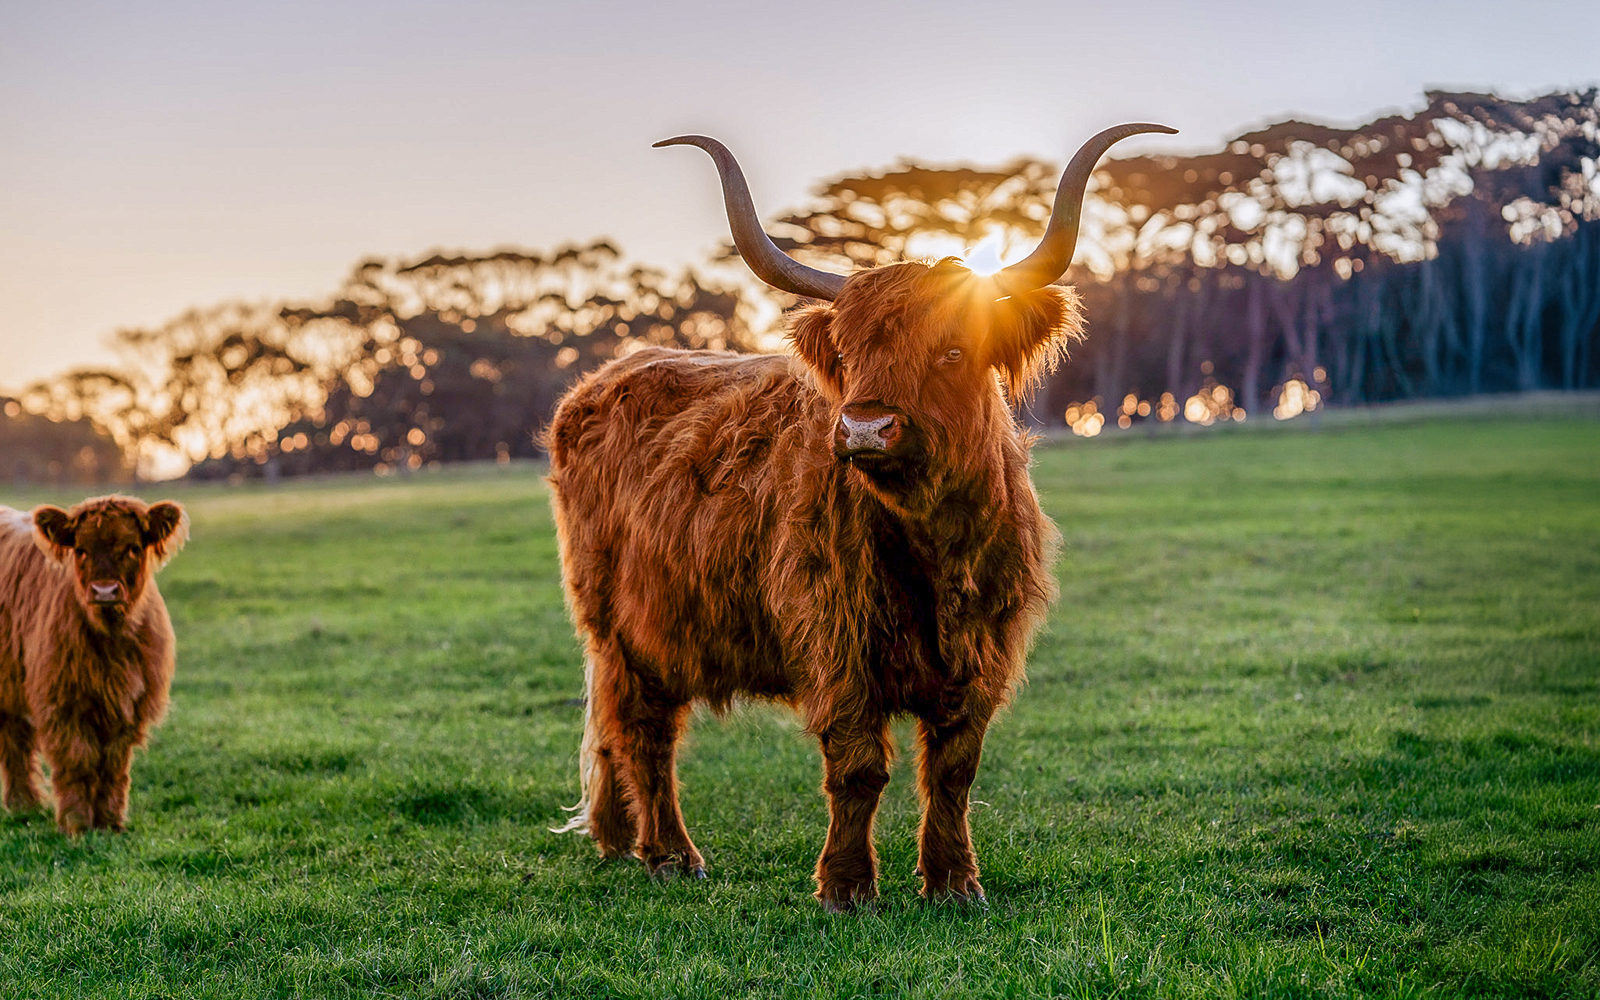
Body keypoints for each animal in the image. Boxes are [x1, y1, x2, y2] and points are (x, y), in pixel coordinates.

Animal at [0, 495, 187, 834]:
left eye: (133, 547)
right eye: (81, 549)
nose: (104, 591)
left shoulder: (128, 705)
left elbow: (112, 765)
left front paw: (110, 822)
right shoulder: (63, 703)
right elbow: (79, 761)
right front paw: (76, 824)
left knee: (14, 740)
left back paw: (24, 806)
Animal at [547, 123, 1174, 909]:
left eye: (953, 350)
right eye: (845, 354)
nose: (865, 429)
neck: (935, 547)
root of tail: (604, 378)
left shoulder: (985, 649)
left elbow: (953, 770)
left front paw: (954, 881)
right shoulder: (836, 637)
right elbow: (857, 767)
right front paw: (846, 886)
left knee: (616, 731)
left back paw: (615, 840)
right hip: (624, 632)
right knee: (645, 732)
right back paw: (669, 854)